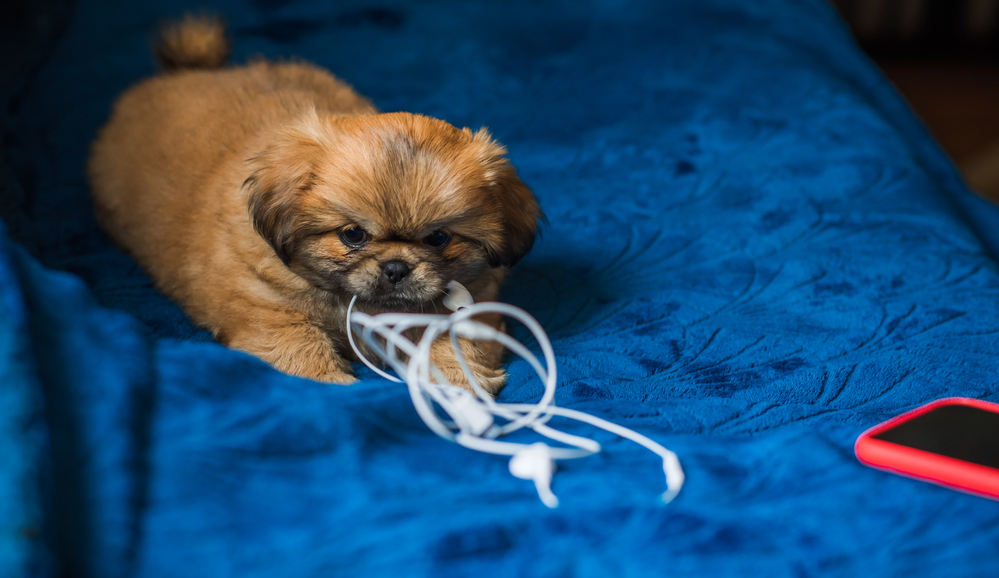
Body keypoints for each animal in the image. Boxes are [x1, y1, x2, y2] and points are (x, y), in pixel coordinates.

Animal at [90, 15, 544, 392]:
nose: (396, 268)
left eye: (438, 239)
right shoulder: (267, 307)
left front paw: (457, 385)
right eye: (353, 235)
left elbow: (455, 342)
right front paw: (327, 384)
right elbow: (299, 346)